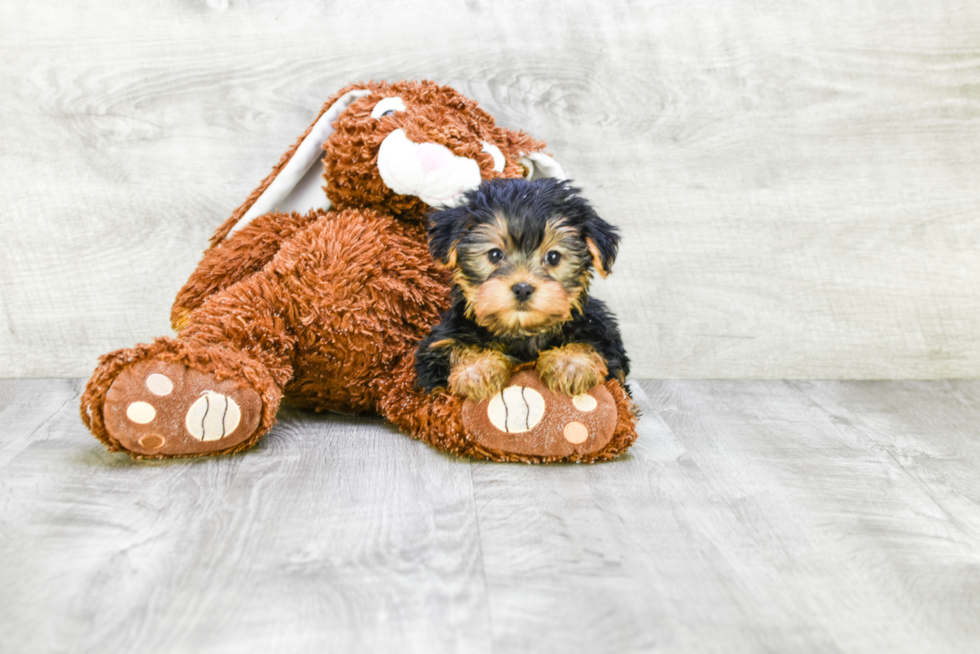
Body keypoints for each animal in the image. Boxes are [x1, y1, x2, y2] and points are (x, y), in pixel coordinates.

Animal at [412, 181, 628, 404]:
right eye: (495, 254)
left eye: (553, 257)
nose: (523, 288)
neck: (521, 331)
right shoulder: (438, 344)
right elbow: (452, 348)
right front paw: (477, 369)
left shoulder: (603, 335)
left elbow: (592, 345)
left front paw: (570, 363)